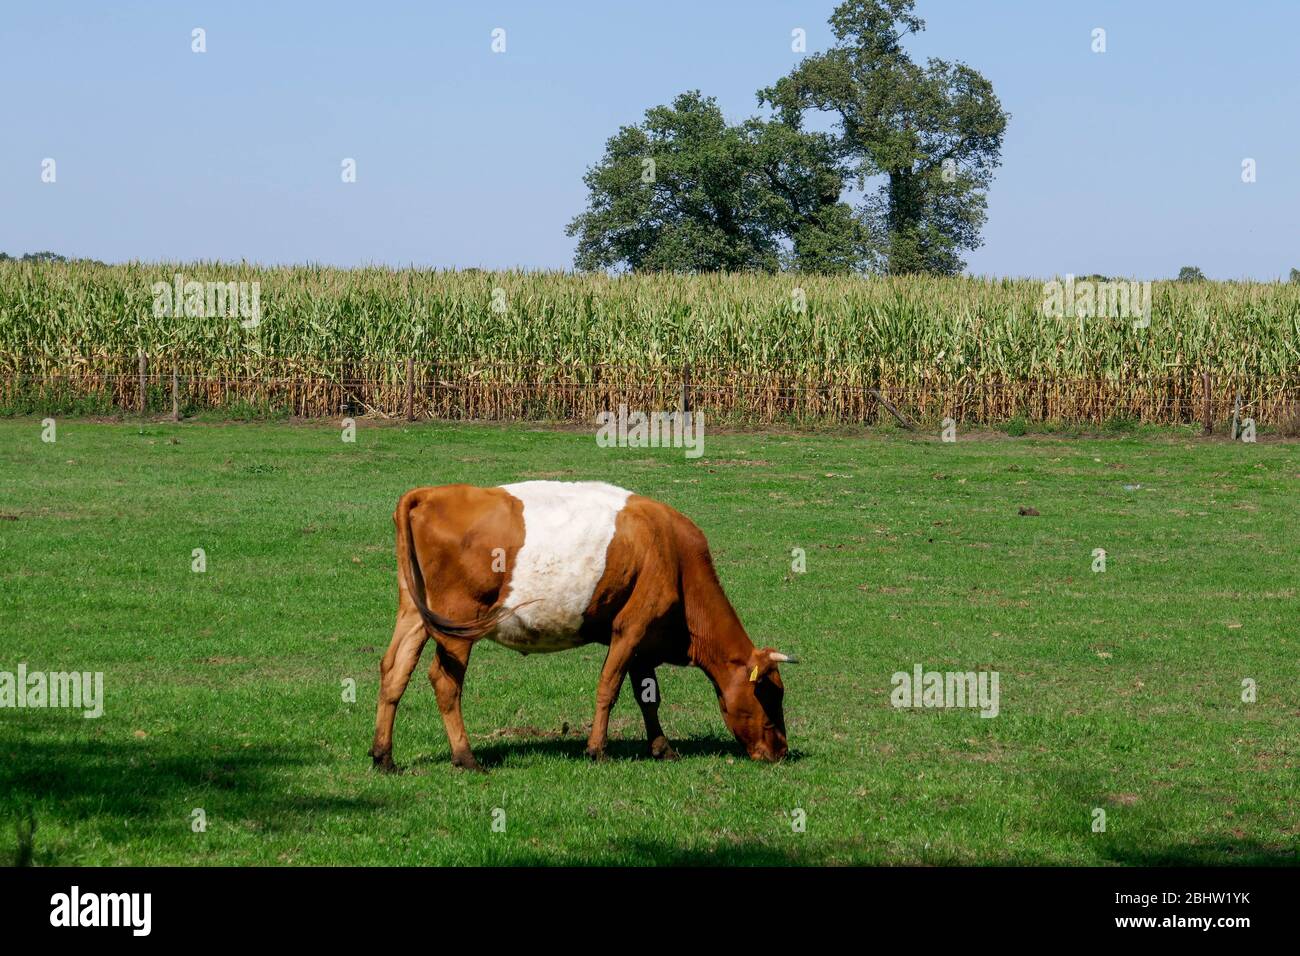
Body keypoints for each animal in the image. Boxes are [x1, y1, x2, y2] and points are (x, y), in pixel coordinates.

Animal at [369, 480, 793, 771]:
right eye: (769, 694)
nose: (782, 751)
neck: (674, 554)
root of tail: (429, 493)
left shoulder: (644, 641)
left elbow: (648, 696)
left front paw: (661, 747)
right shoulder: (631, 628)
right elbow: (609, 687)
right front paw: (596, 749)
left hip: (415, 613)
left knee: (394, 669)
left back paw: (383, 756)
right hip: (459, 618)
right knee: (444, 681)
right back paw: (465, 756)